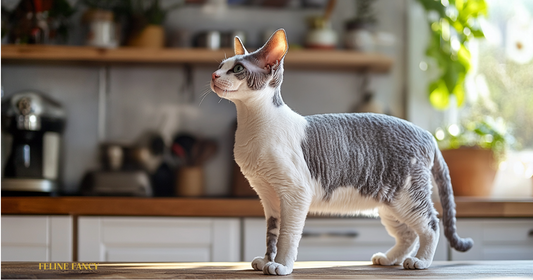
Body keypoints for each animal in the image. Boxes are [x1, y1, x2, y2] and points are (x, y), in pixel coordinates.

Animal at [210, 28, 472, 276]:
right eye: (220, 66)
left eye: (238, 68)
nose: (213, 75)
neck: (251, 125)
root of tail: (427, 134)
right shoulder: (268, 196)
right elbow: (271, 232)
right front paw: (266, 261)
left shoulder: (295, 193)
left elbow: (287, 235)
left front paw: (281, 266)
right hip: (390, 202)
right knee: (408, 234)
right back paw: (389, 259)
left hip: (408, 195)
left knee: (431, 225)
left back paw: (420, 261)